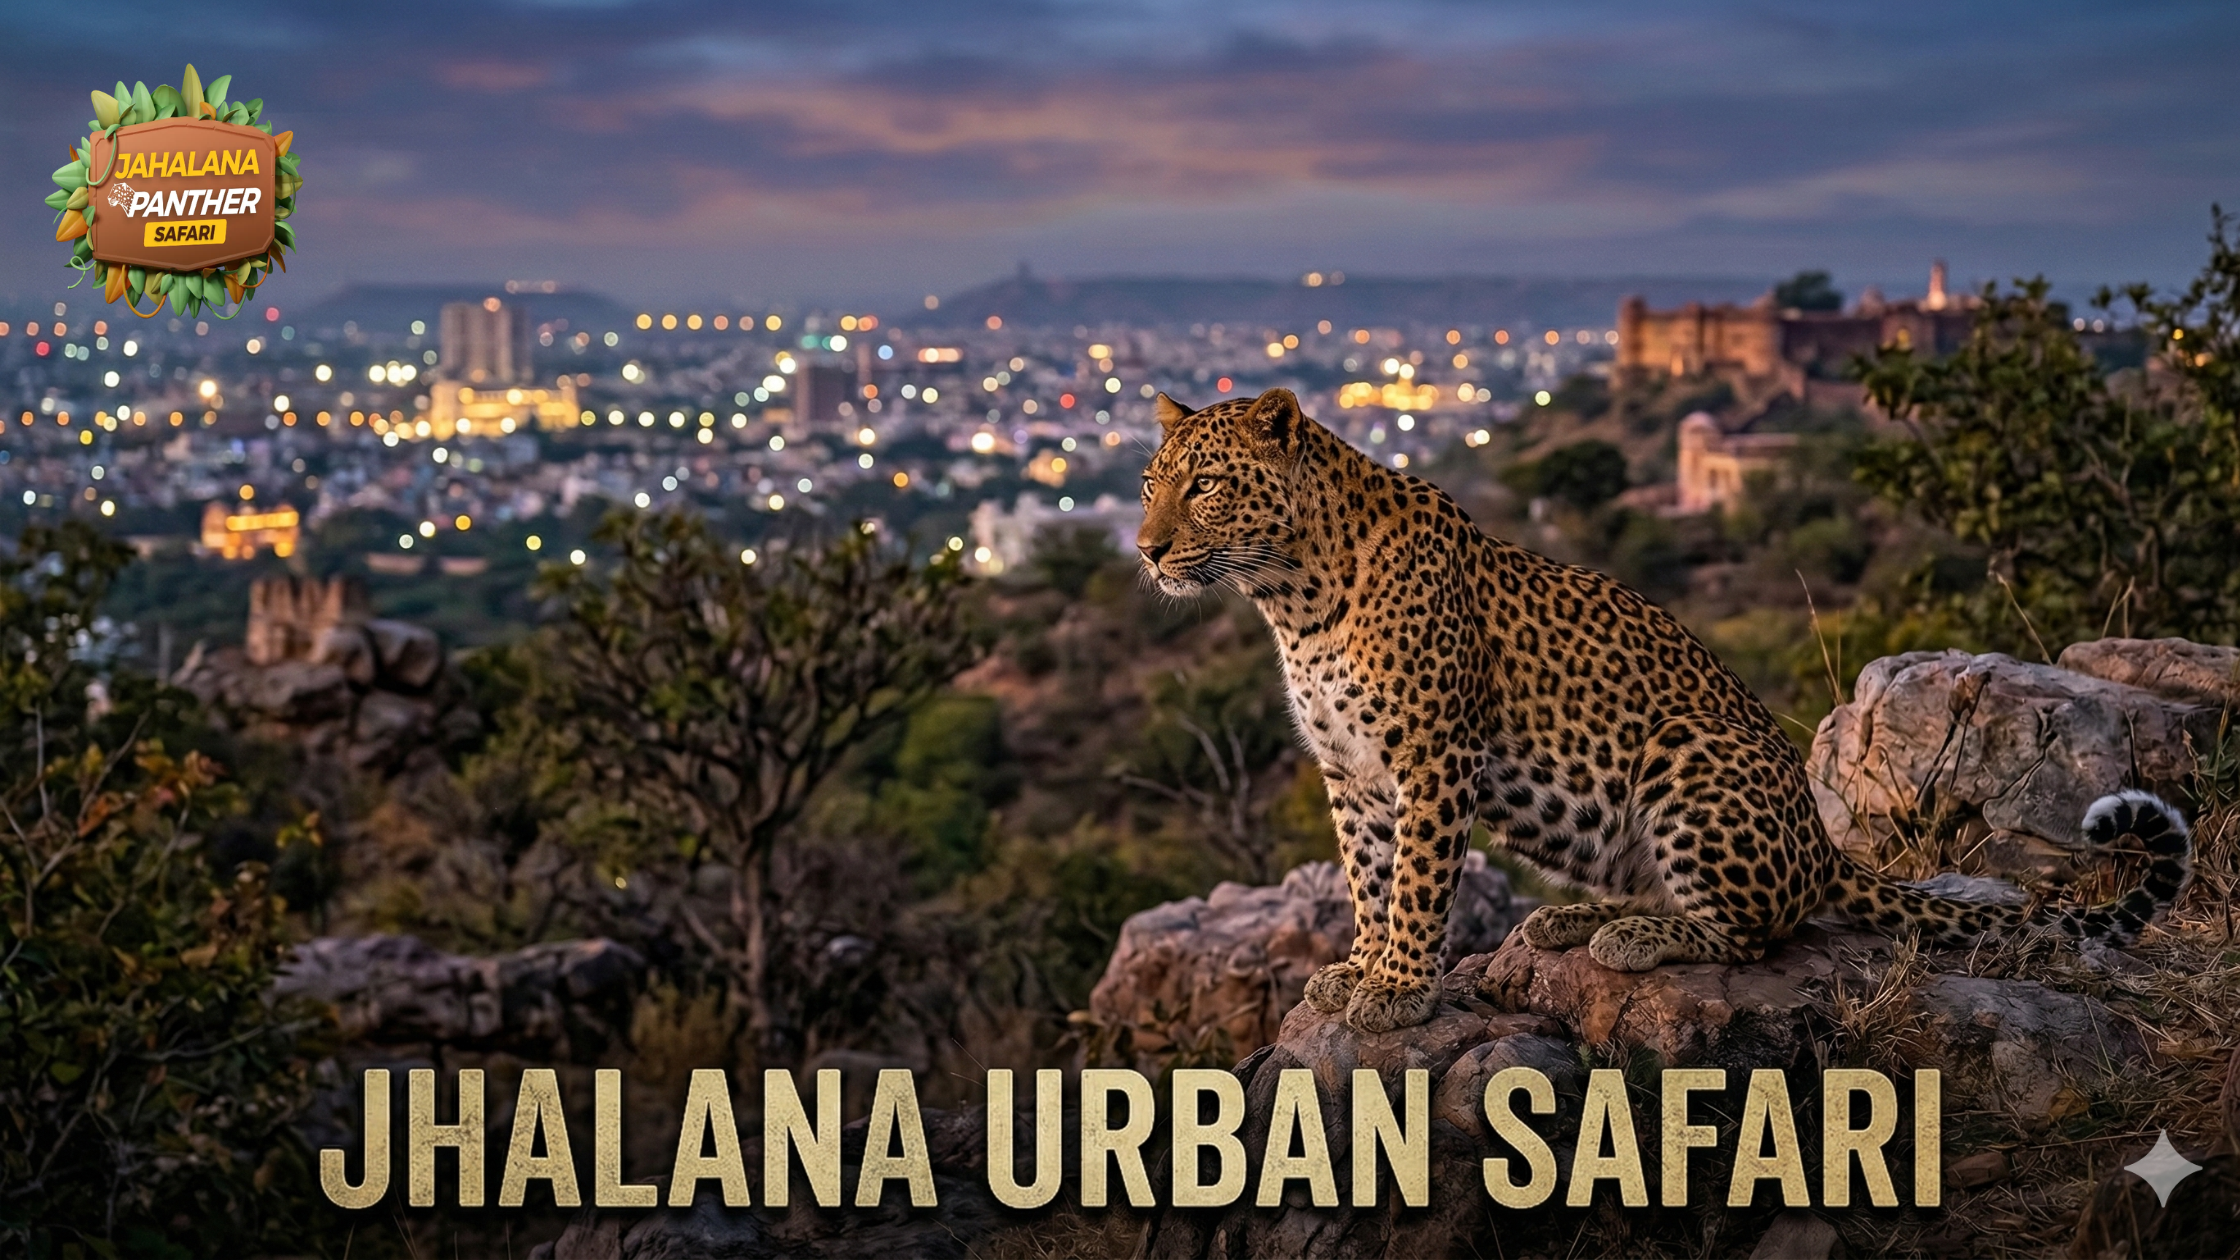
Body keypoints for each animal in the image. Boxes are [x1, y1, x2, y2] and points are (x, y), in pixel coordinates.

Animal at [1136, 387, 2193, 1034]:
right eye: (1150, 484)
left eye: (1208, 486)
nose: (1144, 549)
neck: (1293, 597)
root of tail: (1823, 846)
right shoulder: (1351, 771)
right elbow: (1365, 877)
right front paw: (1358, 968)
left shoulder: (1433, 759)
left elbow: (1419, 883)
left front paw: (1397, 989)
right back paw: (1575, 922)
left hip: (1688, 749)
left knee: (1759, 932)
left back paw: (1635, 938)